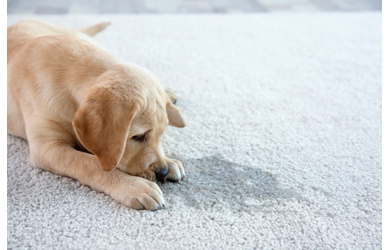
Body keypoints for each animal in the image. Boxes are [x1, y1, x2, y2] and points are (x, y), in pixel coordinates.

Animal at [7, 20, 186, 210]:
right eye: (138, 137)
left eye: (161, 135)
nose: (162, 172)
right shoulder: (47, 147)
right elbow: (90, 163)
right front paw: (134, 186)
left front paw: (169, 161)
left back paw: (167, 93)